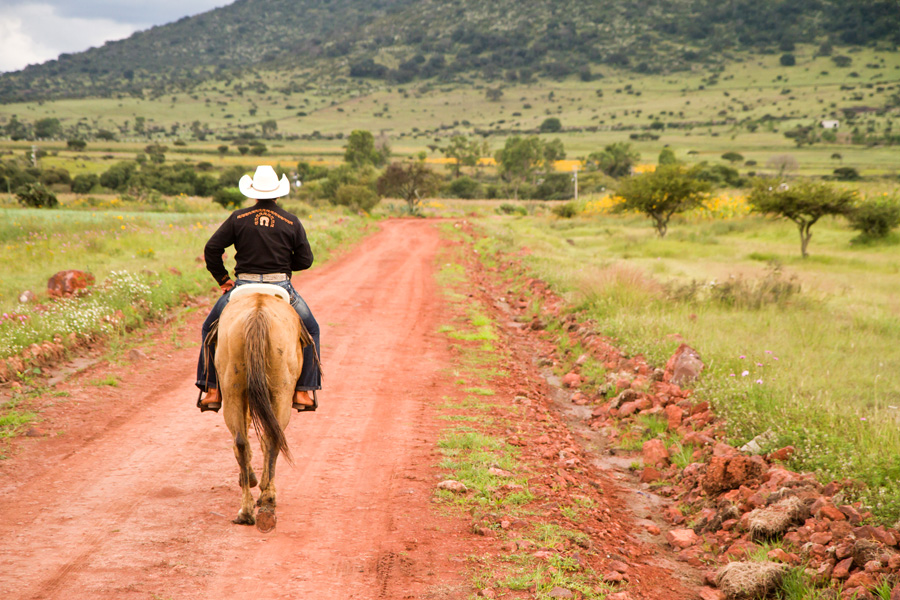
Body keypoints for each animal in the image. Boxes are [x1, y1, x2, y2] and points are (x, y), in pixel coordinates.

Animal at [214, 288, 306, 532]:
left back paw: (247, 512)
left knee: (242, 442)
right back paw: (267, 500)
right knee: (272, 438)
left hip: (233, 389)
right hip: (281, 391)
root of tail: (258, 312)